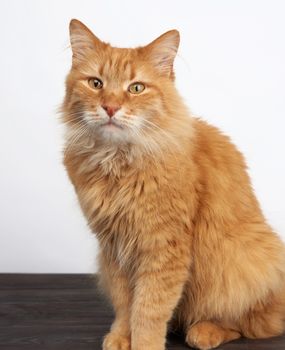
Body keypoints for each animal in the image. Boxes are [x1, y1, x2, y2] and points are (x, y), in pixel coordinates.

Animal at [61, 19, 284, 350]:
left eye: (136, 88)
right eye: (96, 83)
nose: (110, 108)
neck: (118, 161)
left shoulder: (164, 247)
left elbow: (149, 309)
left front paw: (144, 344)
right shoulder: (114, 247)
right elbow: (126, 304)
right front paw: (121, 337)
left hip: (239, 259)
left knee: (248, 322)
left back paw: (204, 332)